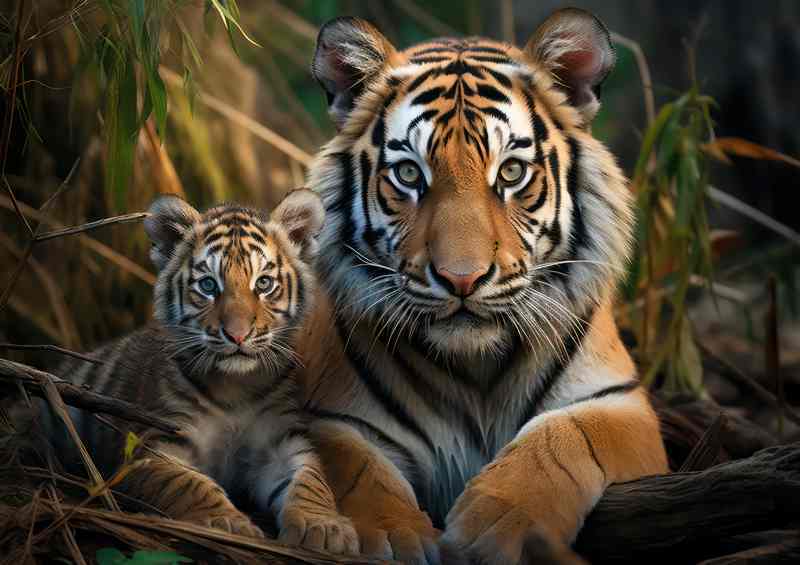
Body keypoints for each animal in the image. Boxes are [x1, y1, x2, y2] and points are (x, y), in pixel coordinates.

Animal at [40, 189, 358, 555]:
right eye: (208, 285)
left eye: (264, 283)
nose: (237, 335)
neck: (237, 386)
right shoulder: (155, 446)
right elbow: (189, 485)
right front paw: (228, 524)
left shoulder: (281, 444)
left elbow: (310, 481)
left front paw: (325, 527)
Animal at [294, 8, 668, 564]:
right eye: (409, 174)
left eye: (510, 172)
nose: (461, 278)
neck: (477, 373)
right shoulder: (331, 417)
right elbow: (356, 473)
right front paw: (394, 538)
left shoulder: (620, 403)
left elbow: (565, 437)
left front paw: (498, 525)